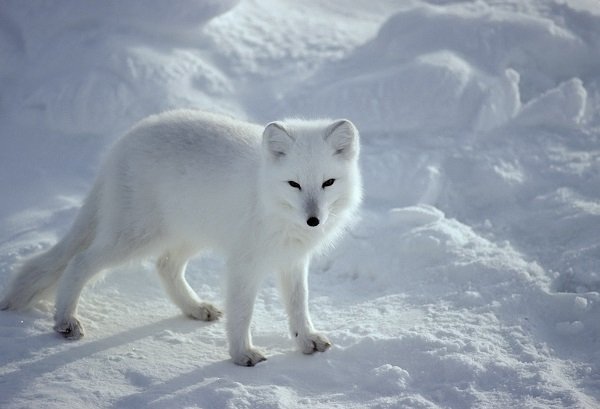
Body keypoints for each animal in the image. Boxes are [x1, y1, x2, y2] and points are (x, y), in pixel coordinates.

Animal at [1, 109, 360, 366]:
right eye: (294, 184)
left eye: (328, 182)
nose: (313, 221)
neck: (268, 200)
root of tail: (122, 143)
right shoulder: (244, 263)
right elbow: (242, 312)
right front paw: (241, 354)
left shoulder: (292, 261)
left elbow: (299, 305)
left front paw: (306, 340)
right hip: (135, 237)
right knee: (80, 261)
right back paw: (65, 320)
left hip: (186, 235)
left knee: (165, 266)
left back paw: (195, 308)